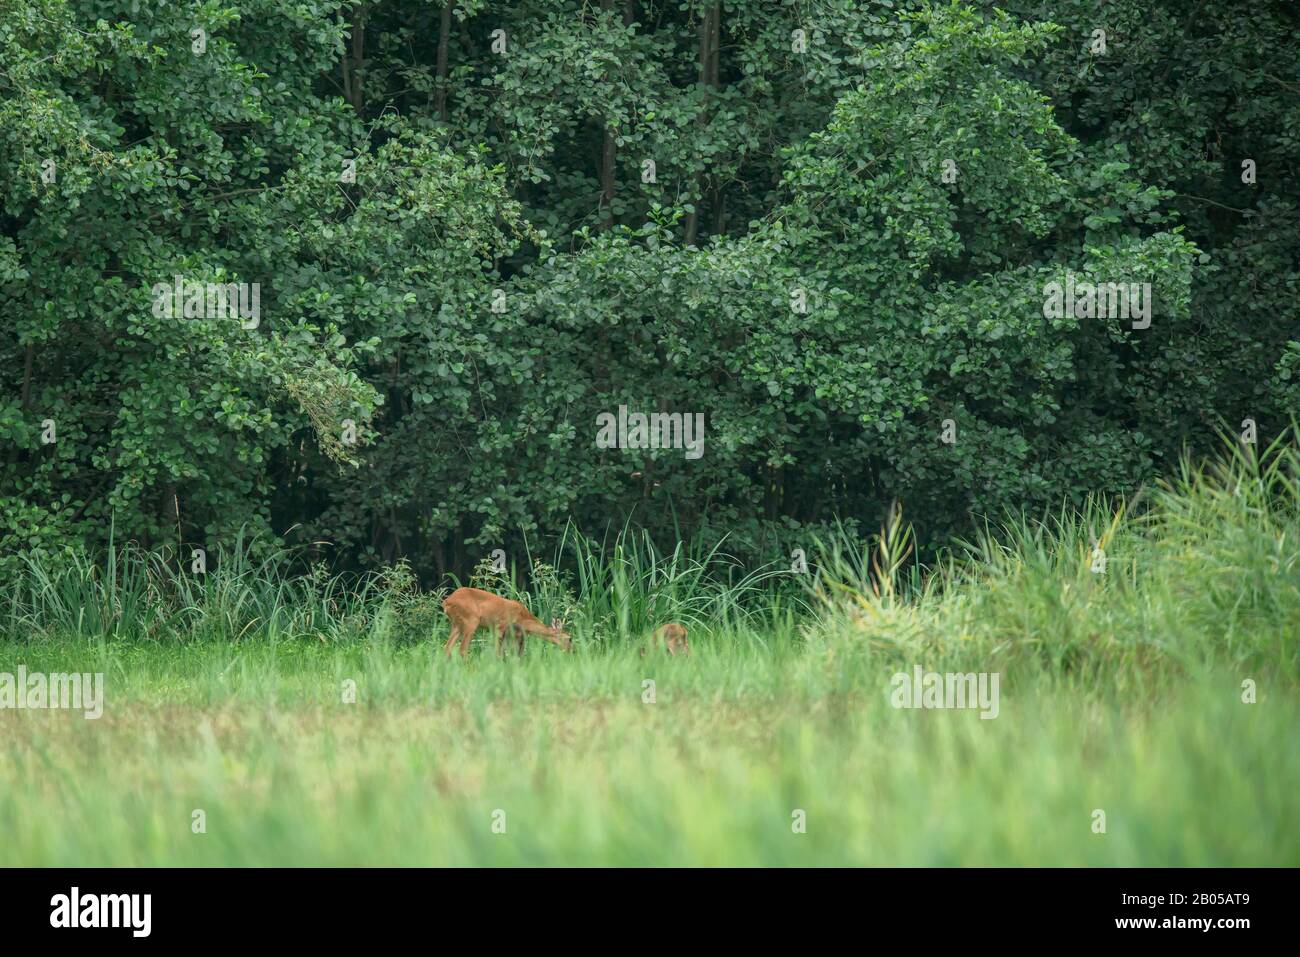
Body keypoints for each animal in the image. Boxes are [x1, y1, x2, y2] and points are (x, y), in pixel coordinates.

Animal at [441, 586, 572, 659]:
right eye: (570, 638)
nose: (573, 651)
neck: (523, 619)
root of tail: (447, 602)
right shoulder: (500, 626)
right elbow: (498, 653)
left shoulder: (515, 634)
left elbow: (516, 654)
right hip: (471, 621)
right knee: (462, 650)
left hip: (456, 625)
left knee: (447, 647)